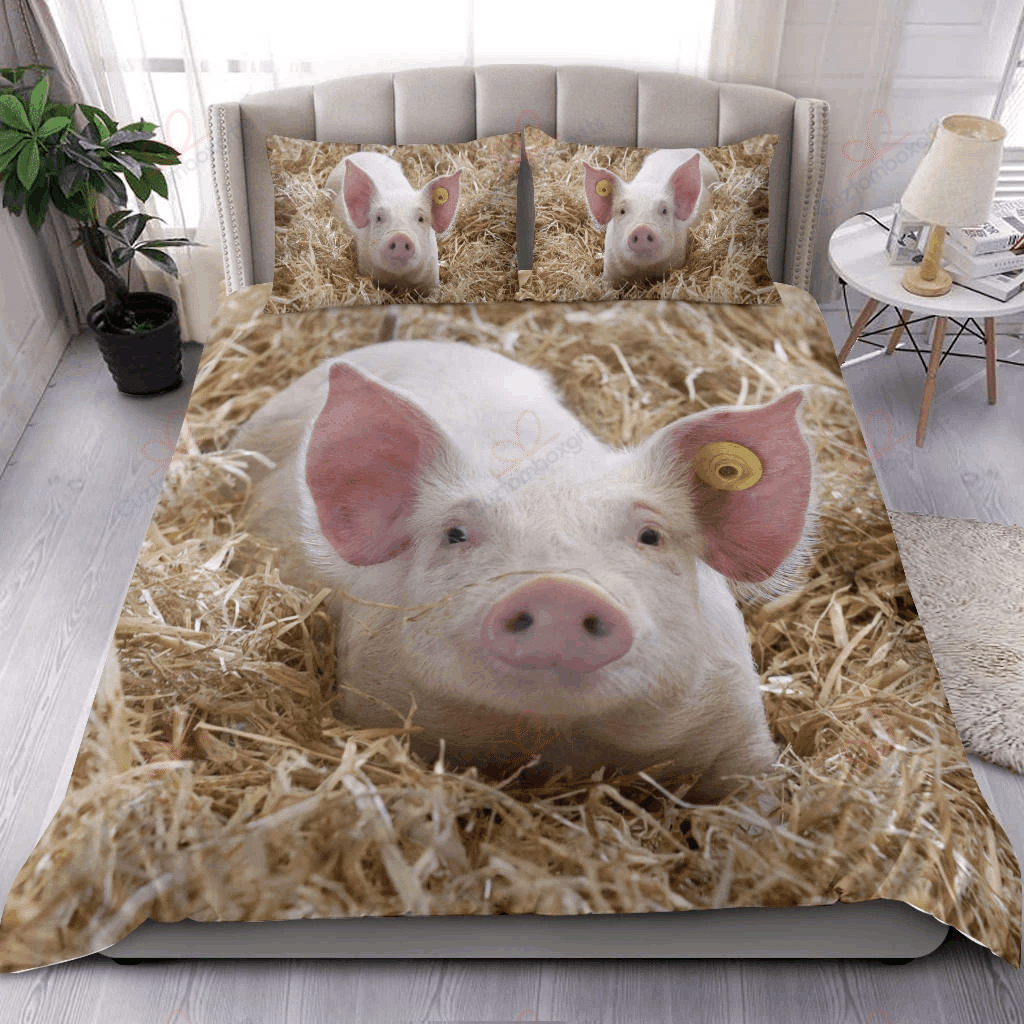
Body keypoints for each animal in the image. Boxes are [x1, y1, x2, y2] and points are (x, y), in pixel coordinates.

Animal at [230, 341, 816, 802]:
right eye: (455, 533)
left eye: (651, 536)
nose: (559, 590)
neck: (553, 739)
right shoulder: (373, 699)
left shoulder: (740, 726)